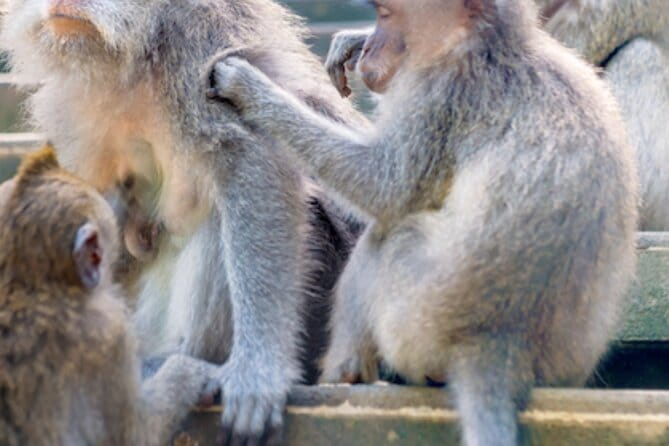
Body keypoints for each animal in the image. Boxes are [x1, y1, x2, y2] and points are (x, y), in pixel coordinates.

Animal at [207, 0, 639, 444]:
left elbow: (384, 188)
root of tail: (501, 339)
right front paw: (353, 41)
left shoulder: (439, 94)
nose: (373, 48)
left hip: (414, 326)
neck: (487, 45)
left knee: (392, 235)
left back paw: (346, 372)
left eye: (386, 14)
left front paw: (252, 89)